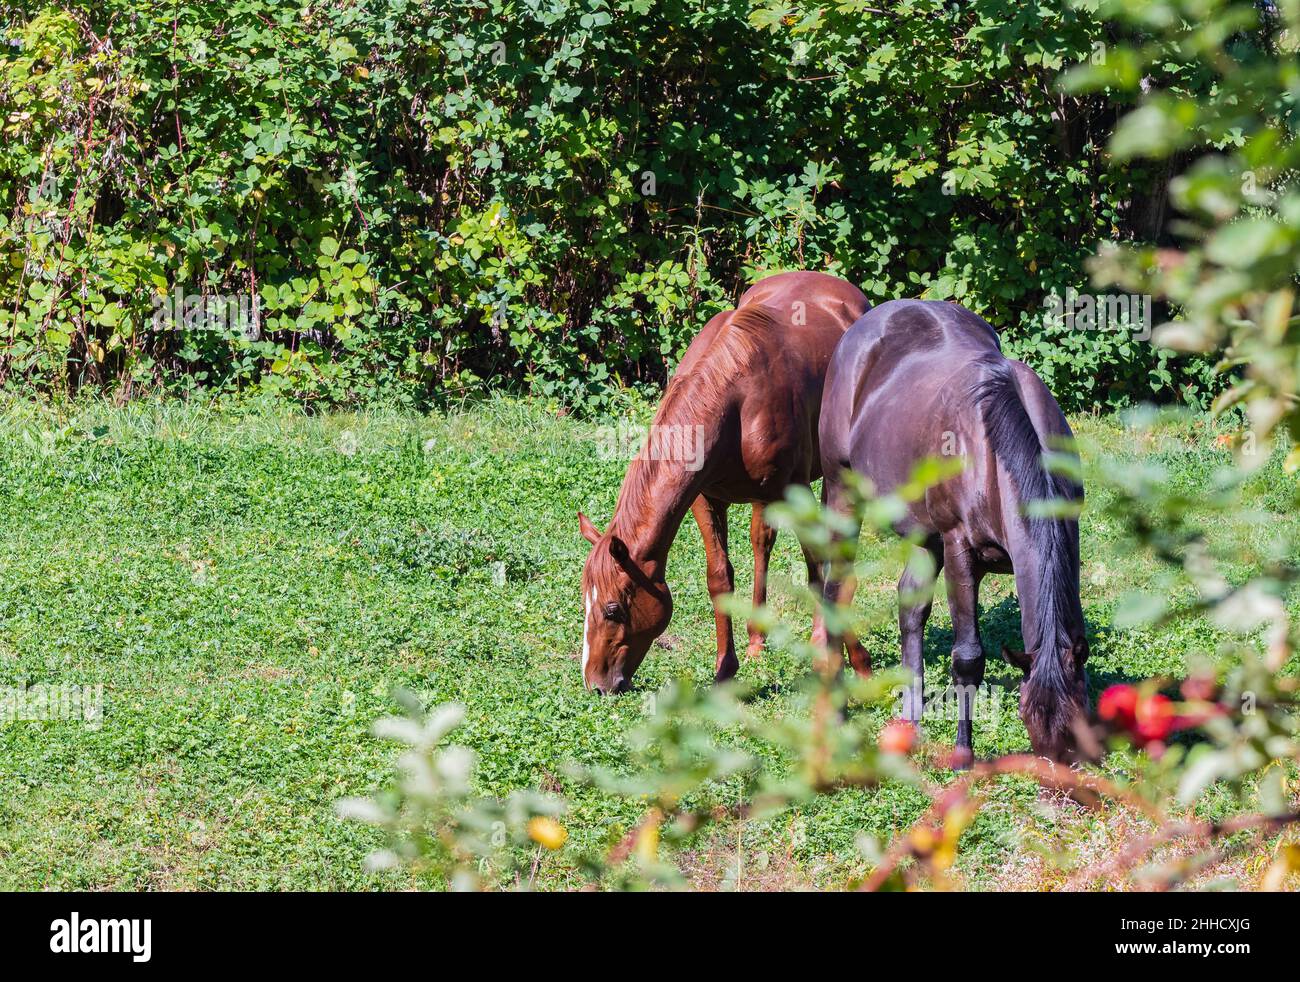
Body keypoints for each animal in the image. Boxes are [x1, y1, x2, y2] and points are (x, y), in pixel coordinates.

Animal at [578, 271, 870, 695]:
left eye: (613, 609)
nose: (596, 684)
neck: (736, 401)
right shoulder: (705, 498)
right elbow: (720, 577)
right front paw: (725, 669)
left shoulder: (795, 492)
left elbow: (817, 567)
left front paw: (846, 656)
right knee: (762, 542)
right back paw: (757, 640)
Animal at [817, 299, 1089, 763]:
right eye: (1029, 720)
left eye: (1075, 728)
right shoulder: (960, 547)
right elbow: (968, 656)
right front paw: (963, 755)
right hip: (843, 493)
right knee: (836, 592)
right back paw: (835, 714)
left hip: (923, 536)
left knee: (910, 609)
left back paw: (911, 719)